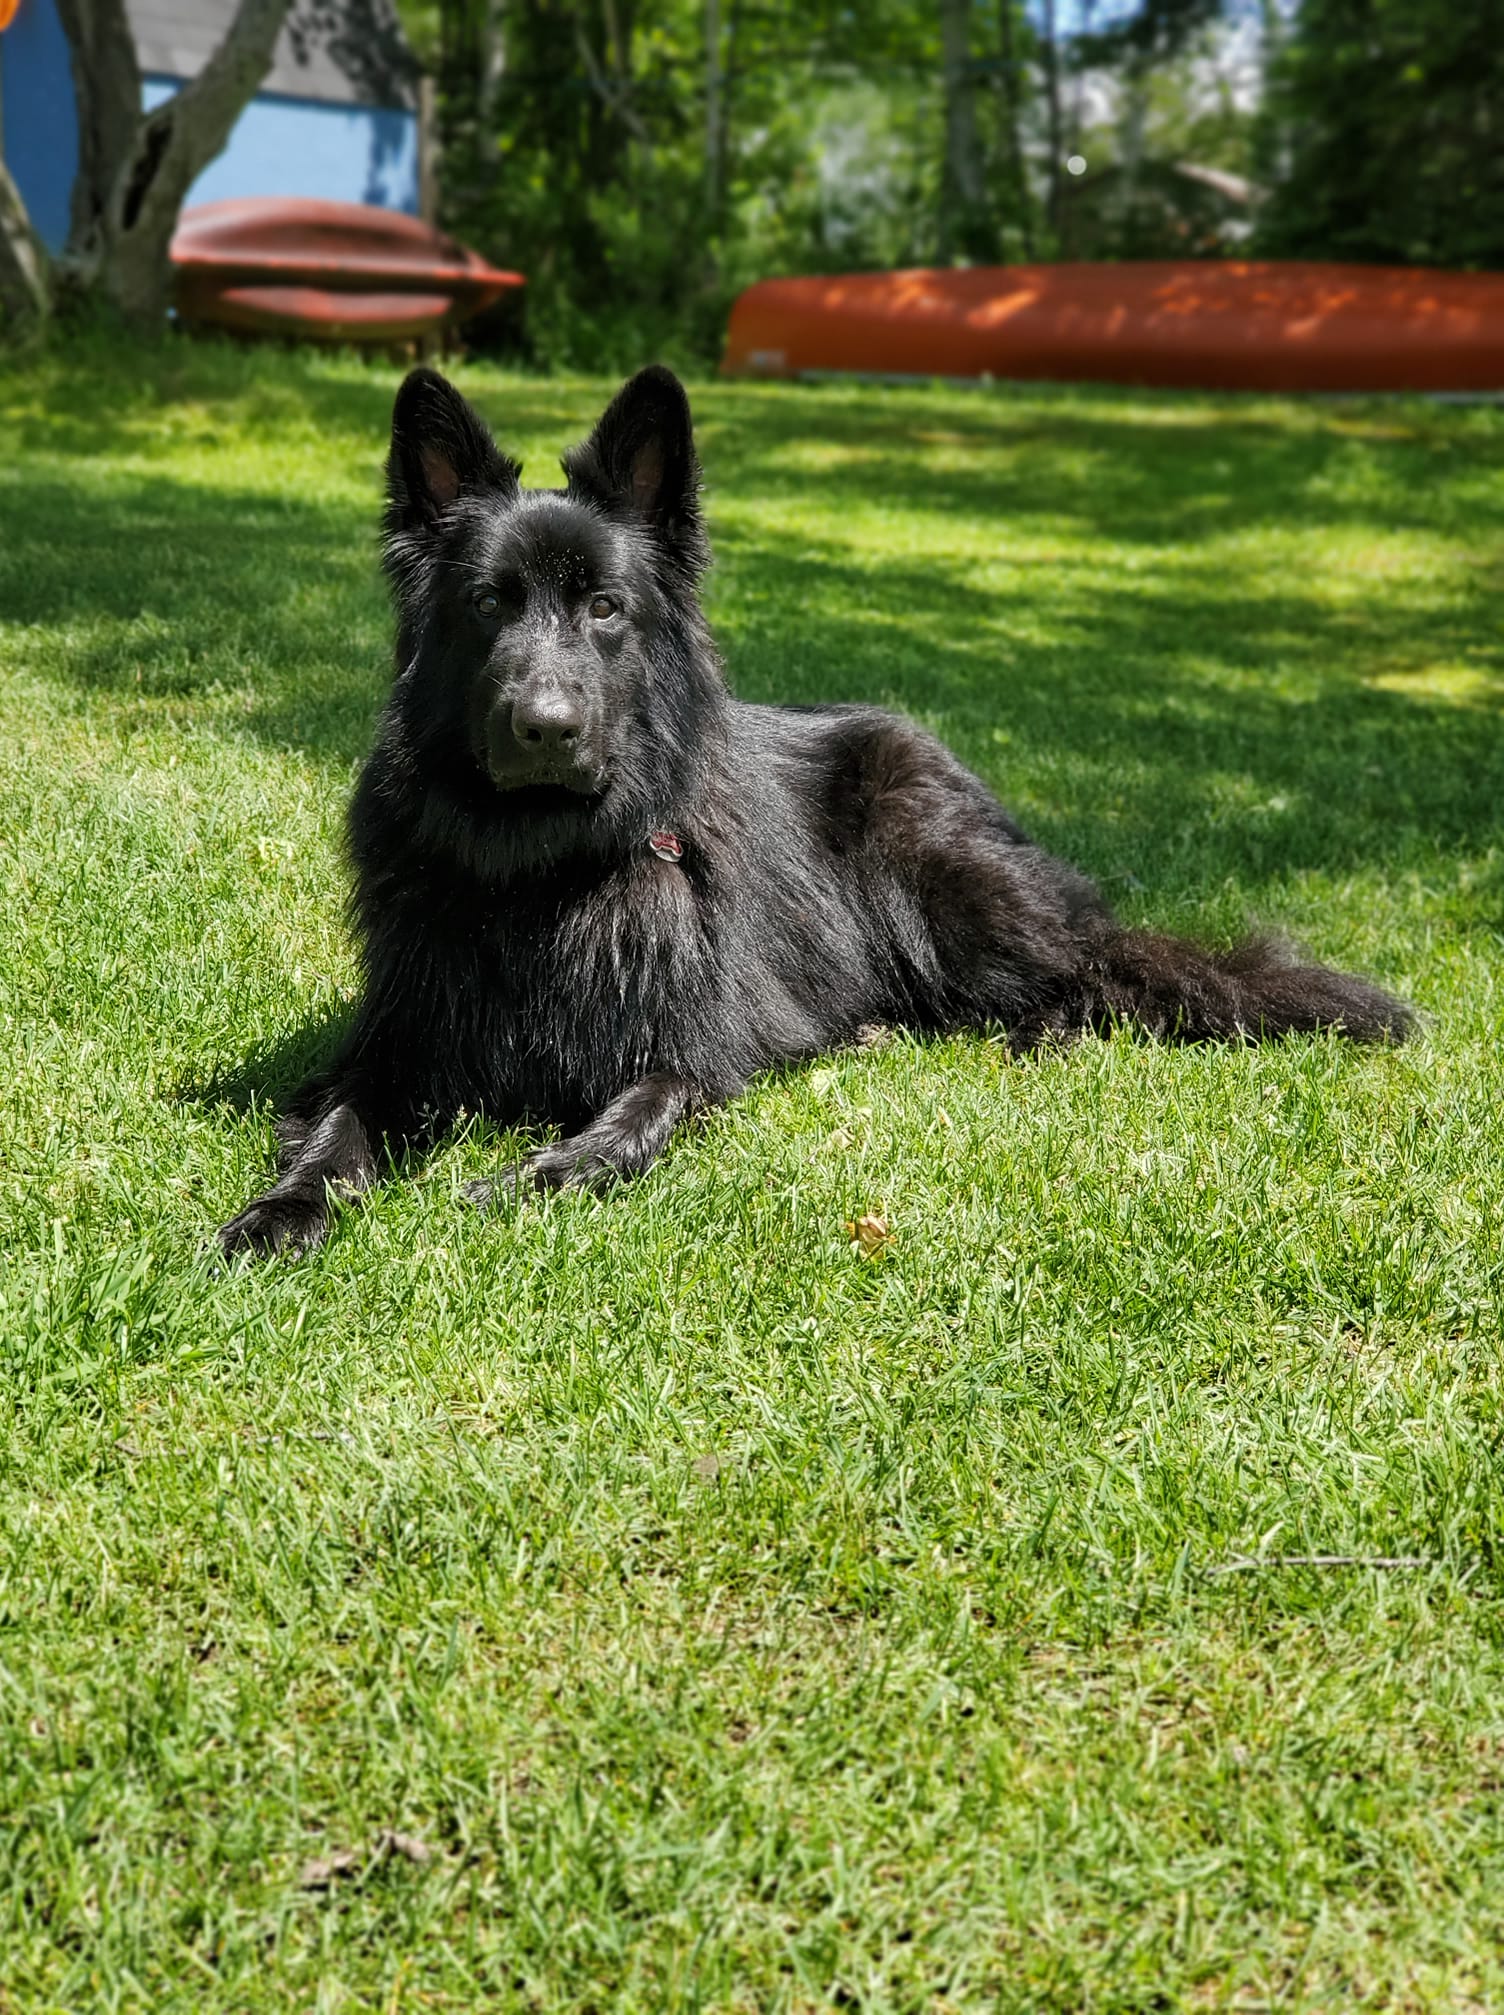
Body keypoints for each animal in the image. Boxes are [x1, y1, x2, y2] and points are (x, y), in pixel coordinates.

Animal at [216, 358, 1403, 1241]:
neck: (539, 870)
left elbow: (630, 1123)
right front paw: (285, 1207)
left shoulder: (687, 1050)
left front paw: (534, 1174)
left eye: (603, 608)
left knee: (1092, 968)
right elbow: (337, 1125)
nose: (547, 726)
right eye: (486, 605)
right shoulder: (397, 1043)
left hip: (944, 878)